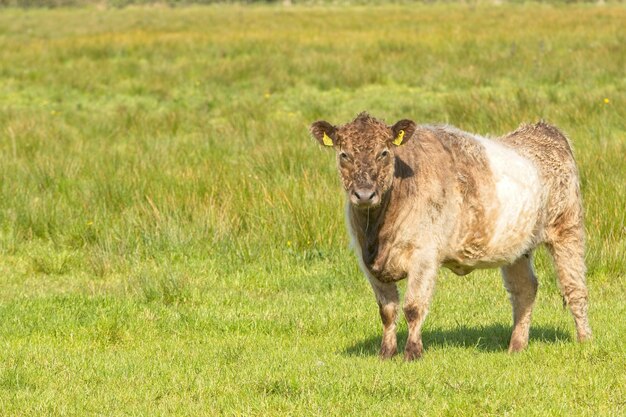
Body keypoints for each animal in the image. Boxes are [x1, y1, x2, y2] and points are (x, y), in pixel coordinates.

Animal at [308, 112, 588, 360]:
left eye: (384, 153)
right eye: (344, 154)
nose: (364, 194)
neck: (377, 234)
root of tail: (543, 129)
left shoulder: (424, 255)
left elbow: (413, 307)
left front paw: (412, 353)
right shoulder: (367, 263)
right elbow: (387, 310)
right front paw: (386, 353)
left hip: (568, 227)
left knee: (574, 287)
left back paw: (585, 341)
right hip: (517, 246)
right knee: (524, 289)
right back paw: (516, 347)